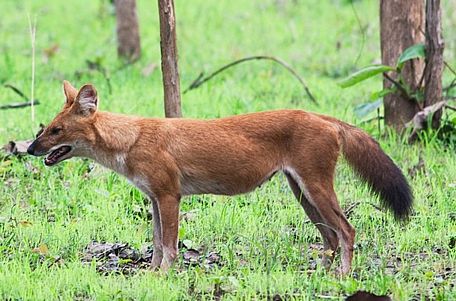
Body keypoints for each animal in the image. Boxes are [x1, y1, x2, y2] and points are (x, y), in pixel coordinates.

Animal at [27, 81, 414, 274]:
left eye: (56, 130)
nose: (28, 148)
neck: (130, 139)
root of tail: (325, 117)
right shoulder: (153, 198)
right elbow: (156, 245)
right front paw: (151, 277)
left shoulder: (169, 196)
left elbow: (170, 247)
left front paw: (165, 278)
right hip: (302, 192)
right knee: (331, 237)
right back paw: (322, 275)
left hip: (315, 188)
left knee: (347, 231)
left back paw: (343, 278)